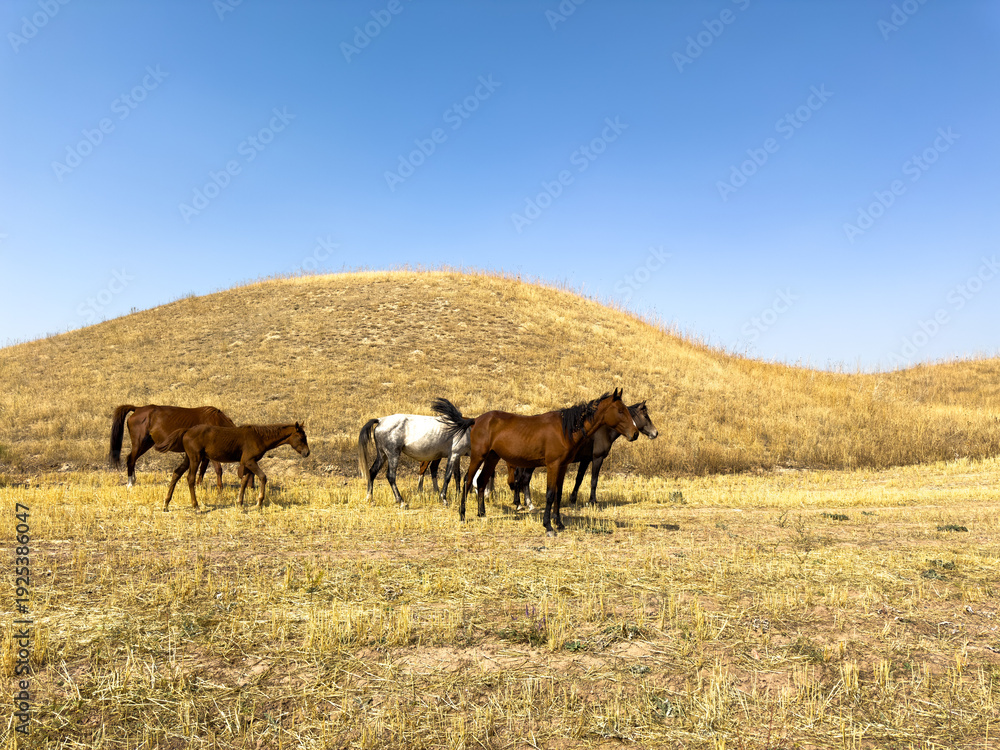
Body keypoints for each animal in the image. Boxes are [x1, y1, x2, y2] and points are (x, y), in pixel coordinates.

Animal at [109, 404, 243, 489]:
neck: (215, 422)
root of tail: (138, 409)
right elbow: (218, 469)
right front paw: (220, 489)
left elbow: (203, 470)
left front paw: (199, 486)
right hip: (139, 443)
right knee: (131, 459)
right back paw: (130, 484)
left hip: (146, 444)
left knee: (133, 459)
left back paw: (133, 480)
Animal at [155, 423, 309, 512]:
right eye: (302, 438)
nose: (307, 453)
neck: (259, 437)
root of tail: (187, 430)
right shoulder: (249, 461)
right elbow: (263, 477)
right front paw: (258, 502)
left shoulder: (247, 463)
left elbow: (244, 481)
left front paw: (240, 503)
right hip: (195, 458)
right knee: (190, 478)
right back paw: (196, 506)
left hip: (188, 458)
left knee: (176, 473)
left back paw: (166, 504)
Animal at [441, 389, 639, 536]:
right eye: (620, 411)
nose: (635, 433)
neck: (565, 429)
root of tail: (476, 420)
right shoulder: (553, 466)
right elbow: (550, 494)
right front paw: (548, 526)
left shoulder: (563, 467)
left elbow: (558, 494)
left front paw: (559, 522)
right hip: (478, 456)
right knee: (468, 481)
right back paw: (462, 514)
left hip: (492, 457)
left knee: (481, 481)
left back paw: (481, 513)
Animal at [508, 401, 658, 509]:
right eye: (646, 416)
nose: (655, 433)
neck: (603, 429)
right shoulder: (597, 458)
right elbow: (594, 480)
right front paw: (593, 501)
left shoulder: (585, 460)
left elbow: (579, 479)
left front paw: (572, 500)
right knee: (524, 479)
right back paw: (527, 504)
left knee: (520, 479)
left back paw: (520, 502)